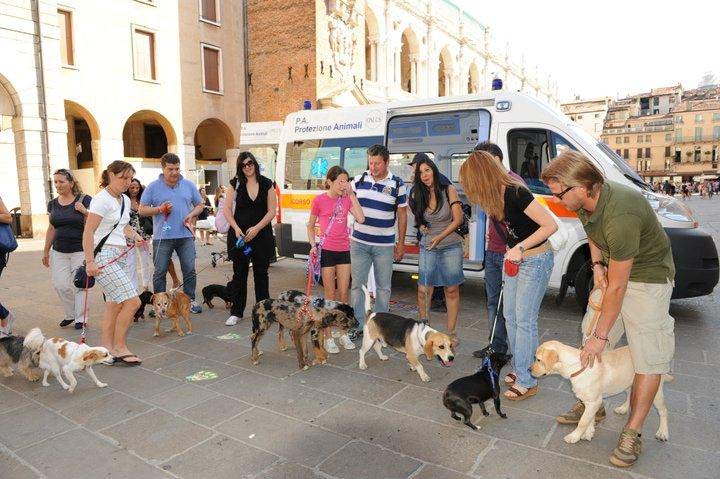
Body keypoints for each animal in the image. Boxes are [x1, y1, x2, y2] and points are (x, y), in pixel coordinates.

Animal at [528, 342, 676, 446]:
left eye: (539, 360)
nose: (529, 370)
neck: (577, 367)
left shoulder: (593, 402)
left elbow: (583, 421)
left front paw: (574, 436)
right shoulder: (590, 402)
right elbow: (589, 418)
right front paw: (589, 432)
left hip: (656, 393)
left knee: (664, 411)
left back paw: (663, 432)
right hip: (628, 383)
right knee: (629, 395)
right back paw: (623, 409)